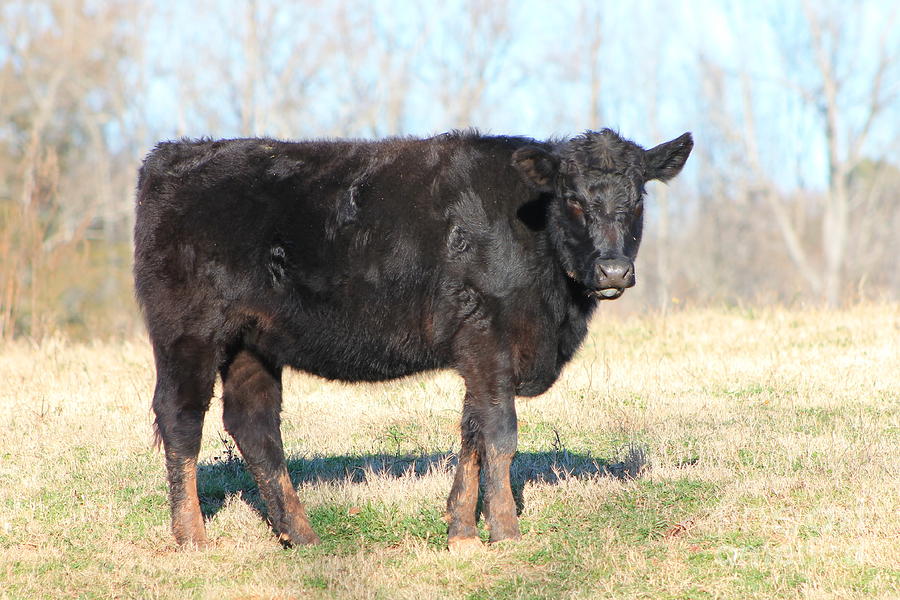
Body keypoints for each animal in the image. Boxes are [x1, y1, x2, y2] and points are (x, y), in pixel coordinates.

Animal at [134, 129, 692, 552]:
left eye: (637, 200)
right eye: (573, 200)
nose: (614, 269)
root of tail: (172, 154)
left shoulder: (477, 352)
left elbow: (472, 432)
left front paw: (462, 532)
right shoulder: (488, 335)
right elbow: (501, 433)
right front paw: (506, 532)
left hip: (253, 341)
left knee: (254, 425)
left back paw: (302, 535)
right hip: (188, 332)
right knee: (181, 417)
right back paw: (192, 537)